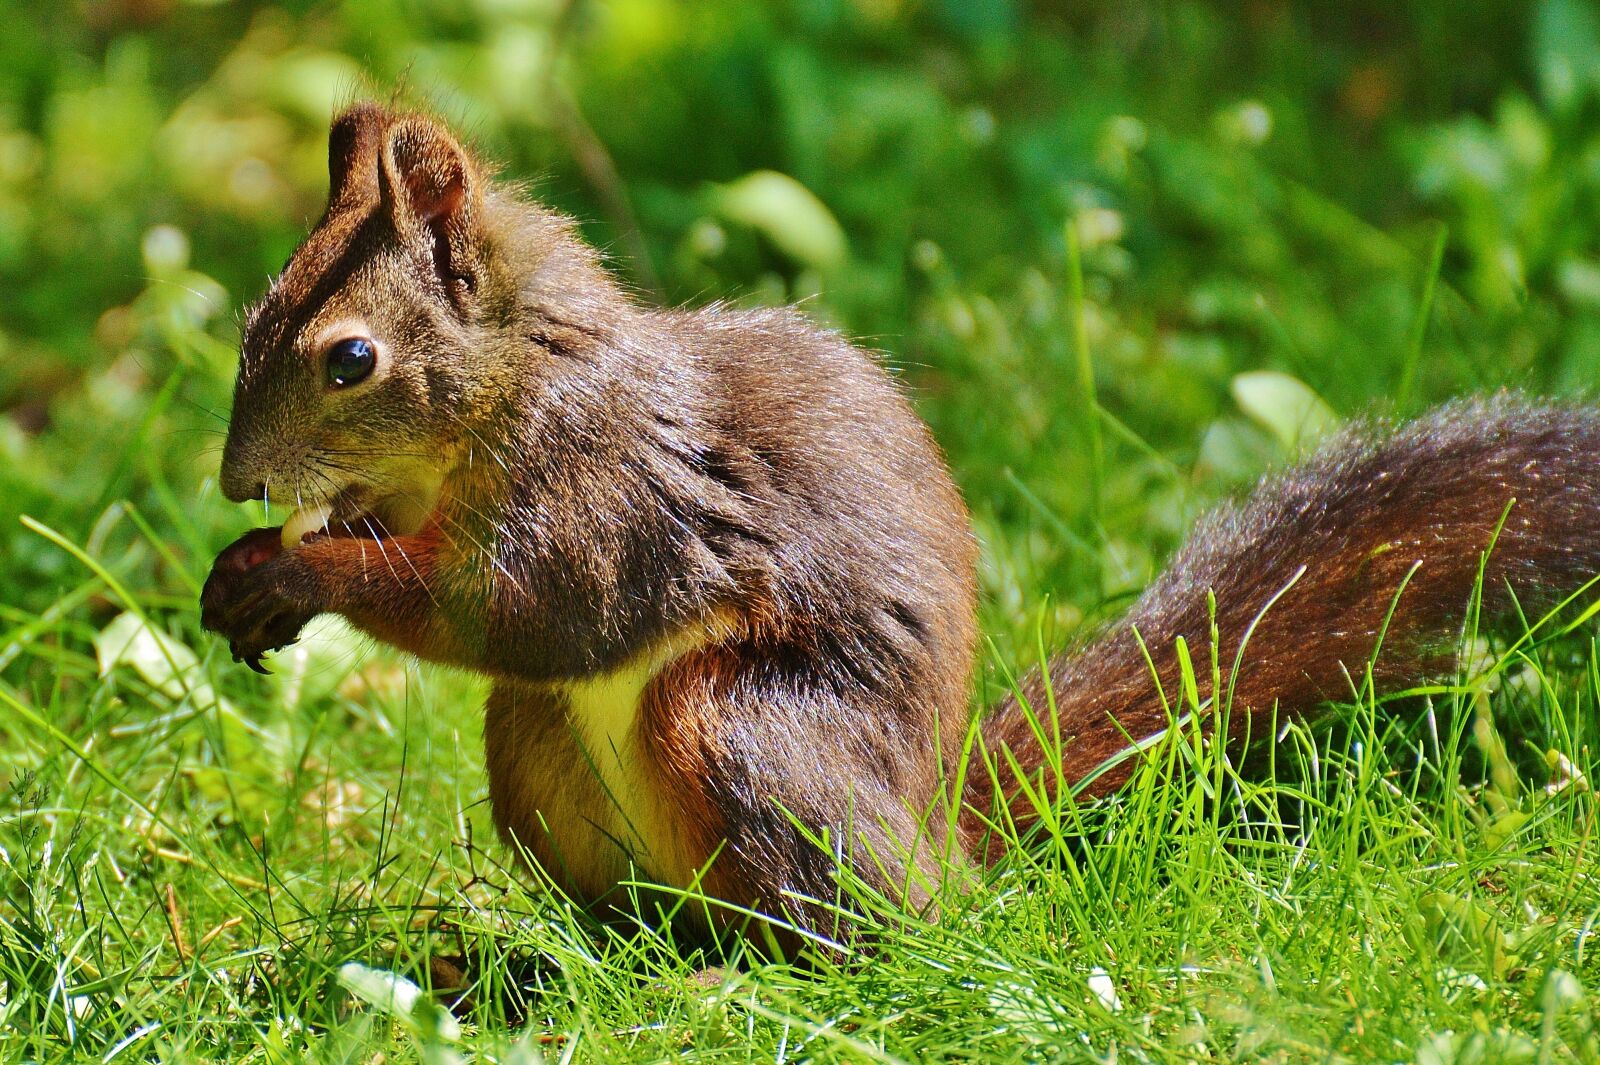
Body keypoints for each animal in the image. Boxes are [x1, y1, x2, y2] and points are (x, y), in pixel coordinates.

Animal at [201, 103, 1600, 943]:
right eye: (256, 312)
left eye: (349, 360)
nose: (235, 484)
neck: (513, 384)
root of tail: (934, 841)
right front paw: (256, 569)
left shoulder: (609, 492)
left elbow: (530, 611)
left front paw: (292, 575)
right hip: (541, 753)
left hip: (744, 728)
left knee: (845, 936)